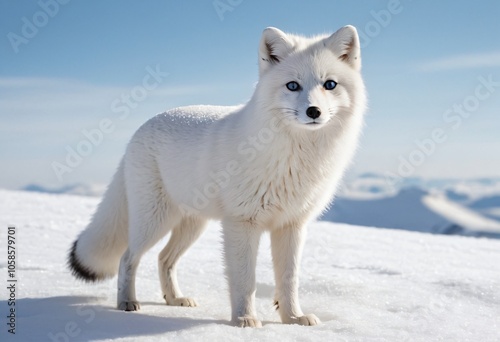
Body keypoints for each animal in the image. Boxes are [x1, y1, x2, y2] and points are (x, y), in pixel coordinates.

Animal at [69, 24, 368, 326]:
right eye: (292, 85)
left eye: (330, 84)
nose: (313, 111)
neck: (295, 159)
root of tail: (139, 130)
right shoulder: (242, 222)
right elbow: (245, 280)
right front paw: (244, 320)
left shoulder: (292, 225)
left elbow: (289, 279)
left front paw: (293, 318)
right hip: (153, 221)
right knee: (128, 257)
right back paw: (127, 303)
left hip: (192, 225)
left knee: (164, 259)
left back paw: (175, 299)